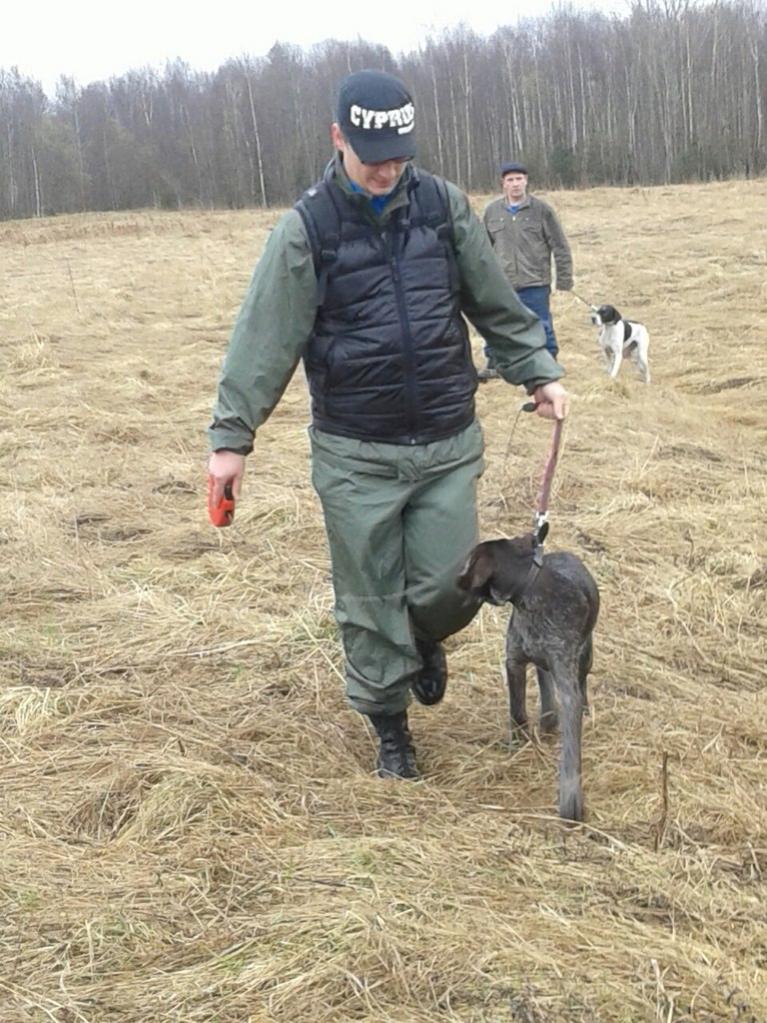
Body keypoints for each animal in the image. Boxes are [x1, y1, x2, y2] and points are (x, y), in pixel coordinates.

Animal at [458, 529, 599, 821]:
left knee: (580, 682)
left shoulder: (568, 687)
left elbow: (571, 749)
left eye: (468, 563)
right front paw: (519, 742)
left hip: (585, 656)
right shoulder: (515, 662)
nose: (456, 580)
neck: (530, 594)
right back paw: (547, 718)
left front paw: (571, 799)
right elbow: (517, 711)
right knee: (544, 682)